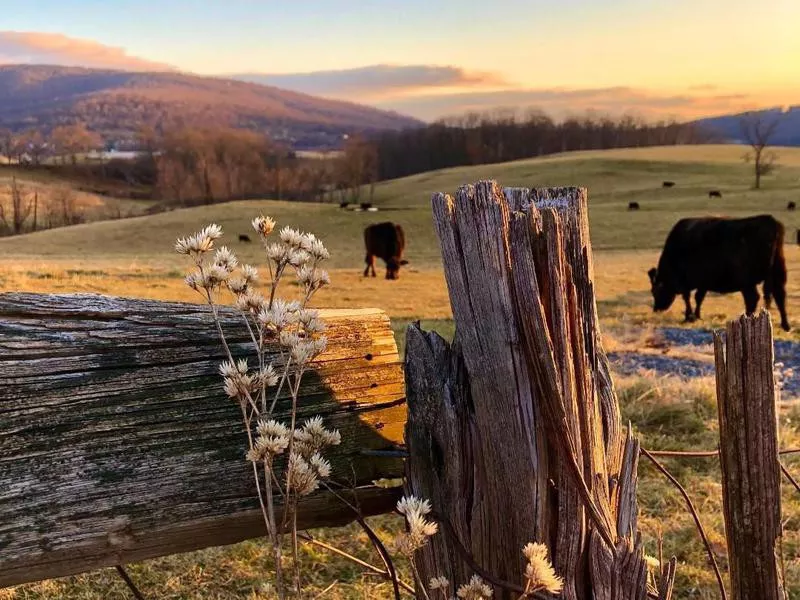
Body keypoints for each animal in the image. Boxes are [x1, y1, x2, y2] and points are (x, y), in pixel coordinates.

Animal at [648, 213, 792, 330]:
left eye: (655, 291)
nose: (656, 309)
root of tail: (770, 221)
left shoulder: (685, 282)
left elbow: (687, 298)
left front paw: (689, 316)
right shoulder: (703, 282)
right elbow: (698, 298)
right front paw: (697, 315)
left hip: (747, 282)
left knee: (753, 298)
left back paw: (747, 319)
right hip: (777, 273)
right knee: (779, 295)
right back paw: (786, 325)